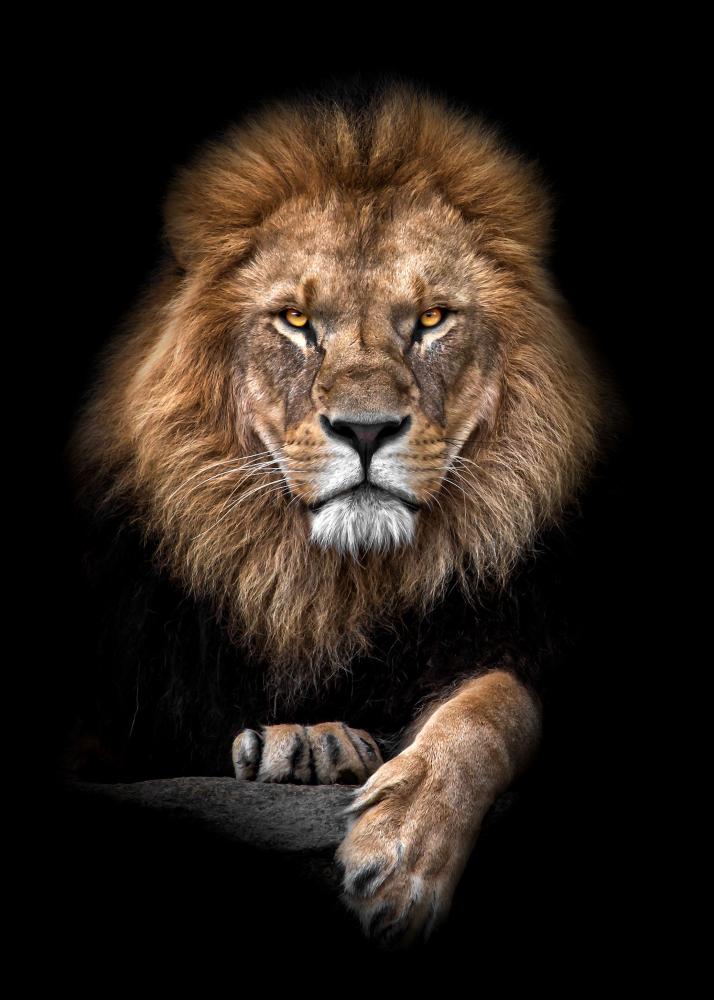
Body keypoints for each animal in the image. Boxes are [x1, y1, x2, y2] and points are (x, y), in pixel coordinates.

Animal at [67, 76, 623, 948]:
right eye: (297, 322)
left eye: (431, 320)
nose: (365, 430)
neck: (331, 588)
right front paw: (308, 742)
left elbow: (495, 705)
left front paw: (402, 853)